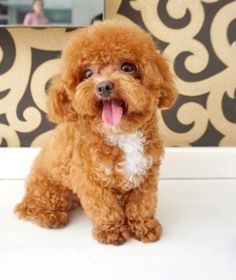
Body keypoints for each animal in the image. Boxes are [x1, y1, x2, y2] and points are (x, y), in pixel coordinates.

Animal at [15, 20, 177, 245]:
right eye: (87, 74)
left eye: (127, 67)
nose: (104, 87)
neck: (121, 134)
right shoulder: (89, 179)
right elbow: (106, 207)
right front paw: (112, 230)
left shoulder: (147, 174)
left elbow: (141, 204)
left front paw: (144, 226)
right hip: (49, 190)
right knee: (31, 207)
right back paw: (49, 216)